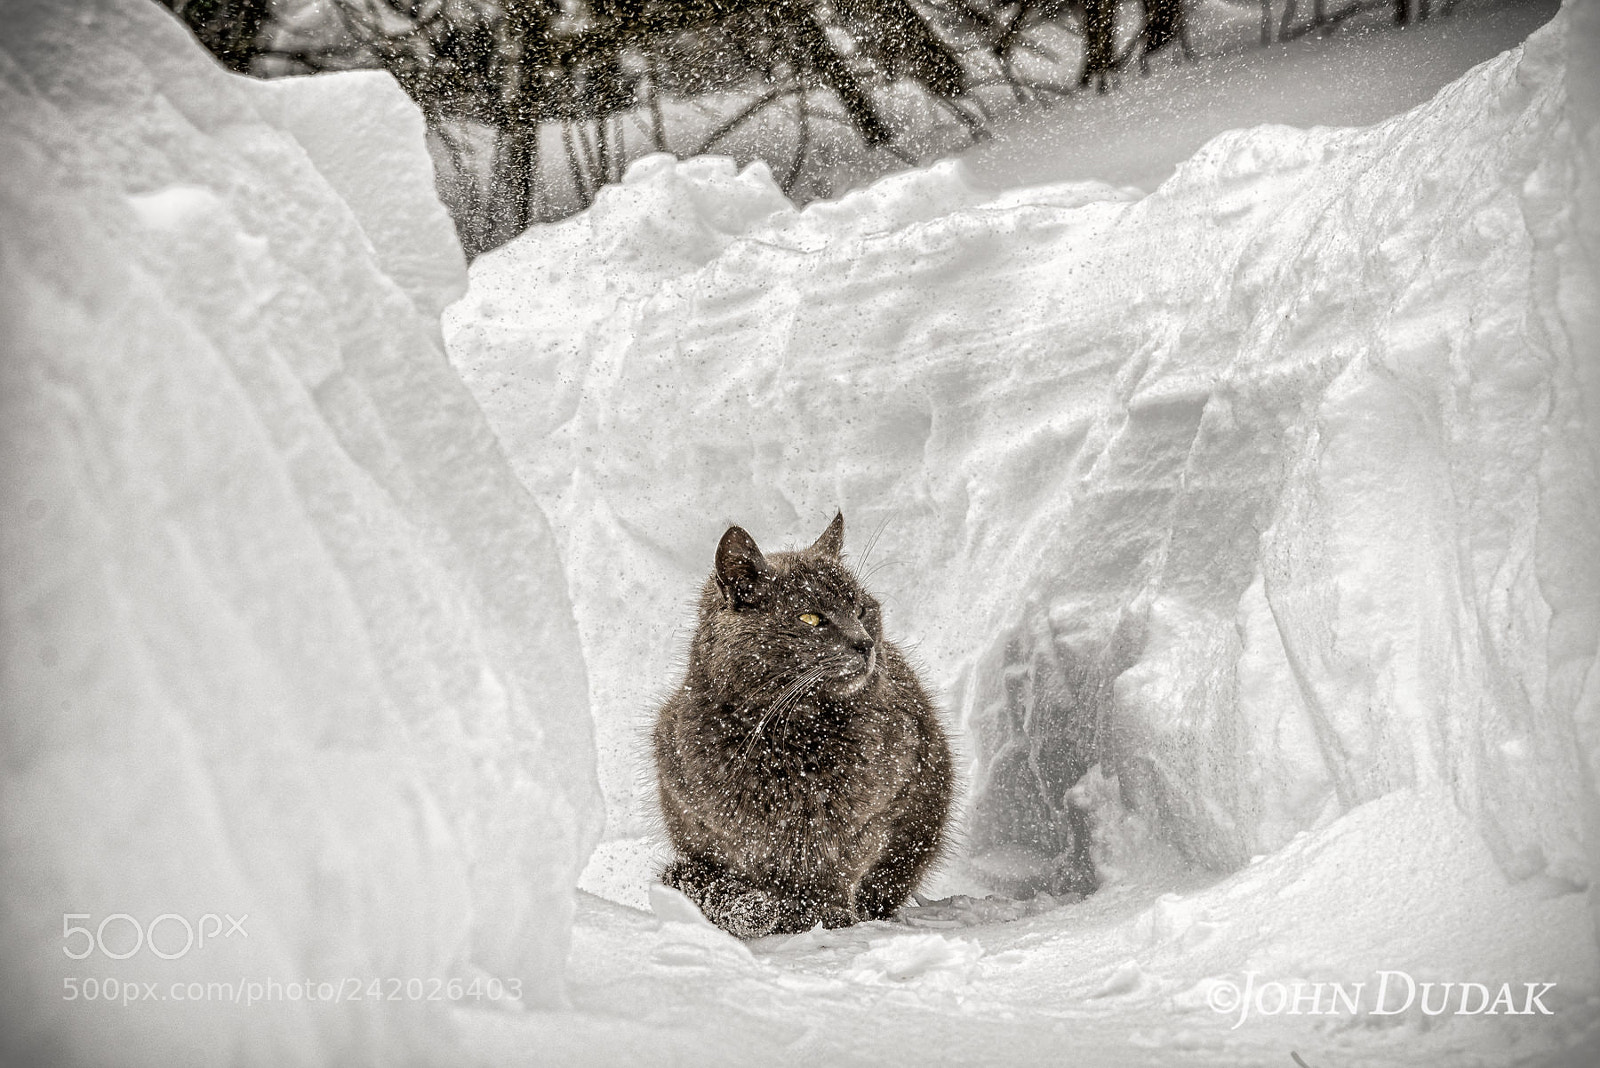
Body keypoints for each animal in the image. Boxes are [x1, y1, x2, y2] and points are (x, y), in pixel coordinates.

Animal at [649, 511, 947, 940]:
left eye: (861, 610)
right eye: (811, 617)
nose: (866, 643)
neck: (791, 736)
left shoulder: (884, 806)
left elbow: (840, 864)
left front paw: (827, 917)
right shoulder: (698, 813)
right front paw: (773, 913)